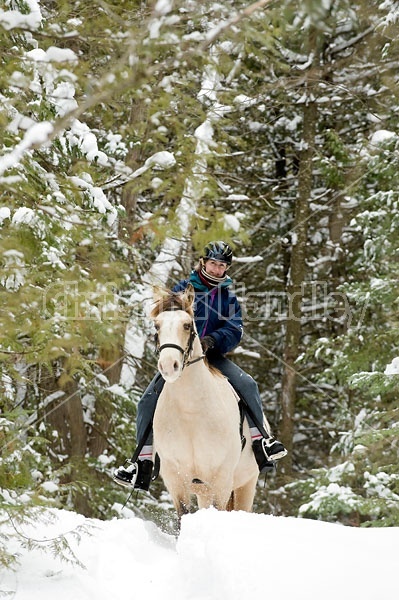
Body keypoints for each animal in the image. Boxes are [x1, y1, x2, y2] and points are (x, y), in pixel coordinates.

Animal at [151, 284, 260, 524]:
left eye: (187, 324)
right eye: (157, 325)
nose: (168, 365)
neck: (190, 413)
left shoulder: (220, 481)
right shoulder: (176, 479)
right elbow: (183, 518)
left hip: (246, 484)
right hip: (202, 491)